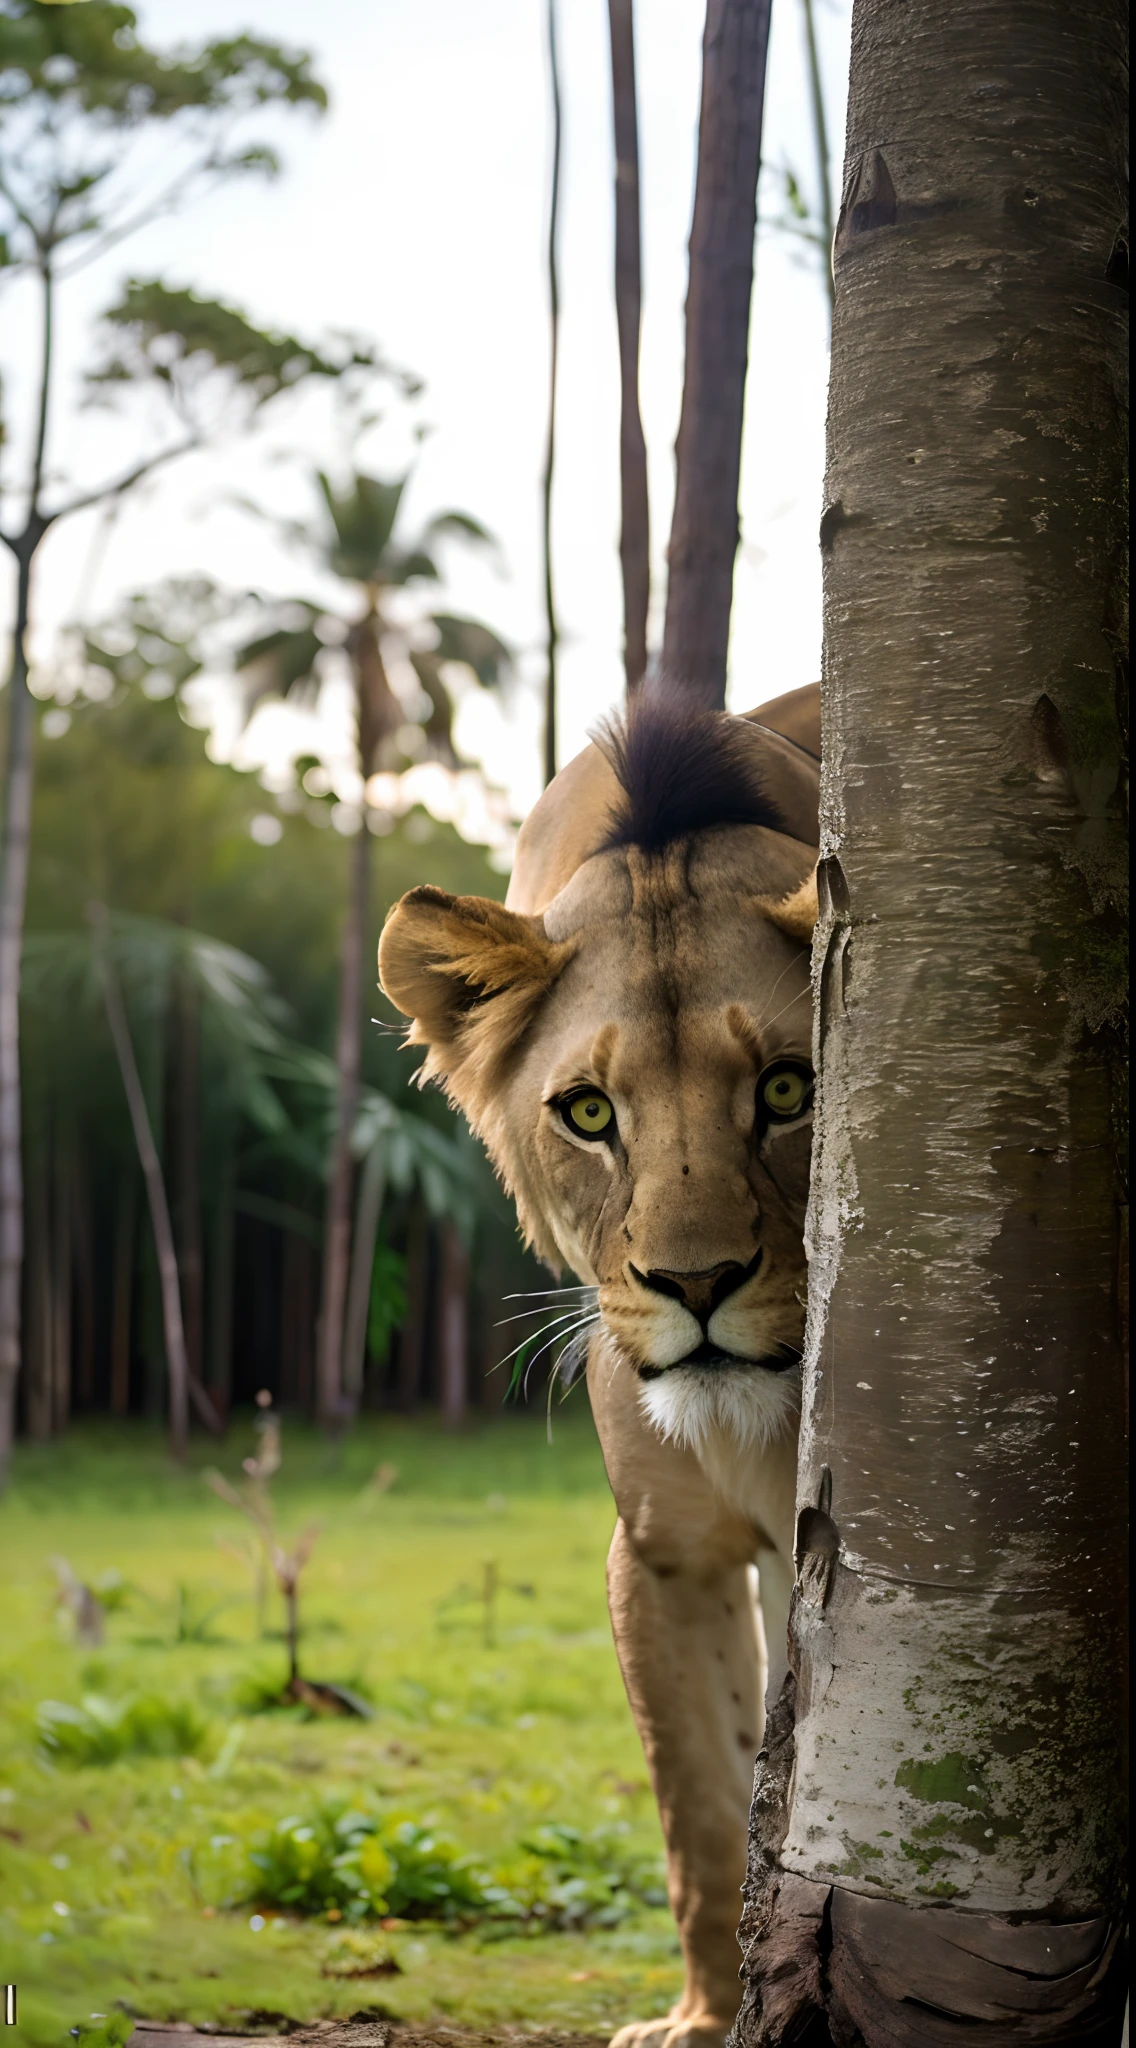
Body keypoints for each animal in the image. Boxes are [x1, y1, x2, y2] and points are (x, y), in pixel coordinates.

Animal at [380, 688, 818, 2048]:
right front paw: (705, 2018)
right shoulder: (665, 1550)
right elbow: (703, 1801)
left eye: (787, 1086)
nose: (696, 1283)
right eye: (586, 1112)